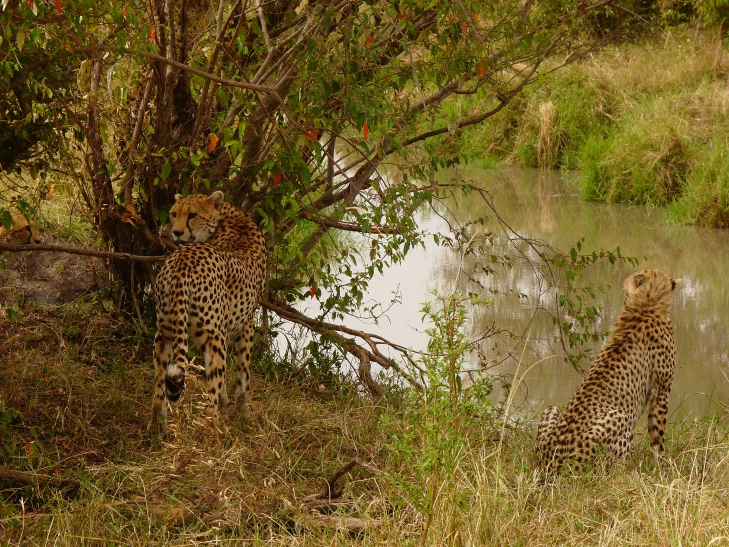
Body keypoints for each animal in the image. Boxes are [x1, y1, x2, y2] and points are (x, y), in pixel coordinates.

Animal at [149, 191, 267, 434]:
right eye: (174, 214)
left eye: (192, 214)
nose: (176, 232)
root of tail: (183, 259)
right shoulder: (246, 324)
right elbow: (244, 372)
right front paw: (242, 411)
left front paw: (228, 402)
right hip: (213, 337)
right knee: (211, 390)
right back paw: (214, 432)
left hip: (165, 330)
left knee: (160, 384)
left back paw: (157, 426)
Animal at [537, 269, 682, 476]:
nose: (624, 297)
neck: (645, 304)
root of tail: (550, 464)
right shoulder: (661, 391)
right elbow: (657, 436)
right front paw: (662, 468)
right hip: (620, 417)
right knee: (612, 472)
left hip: (551, 410)